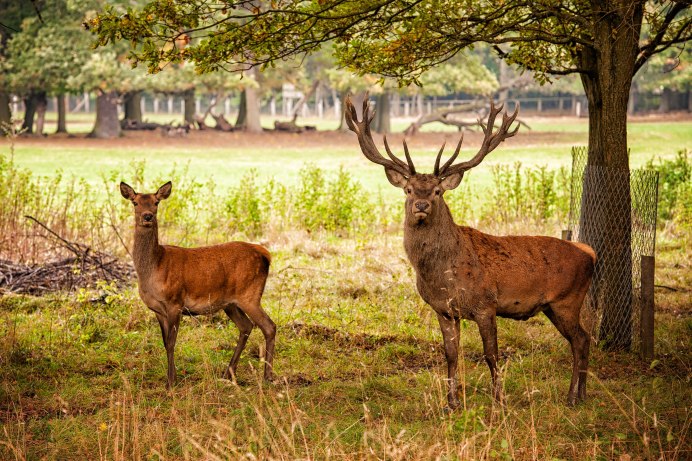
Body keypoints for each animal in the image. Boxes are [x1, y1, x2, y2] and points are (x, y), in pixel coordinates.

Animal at [120, 181, 274, 388]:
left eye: (156, 202)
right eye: (135, 202)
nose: (147, 216)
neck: (154, 269)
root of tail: (266, 255)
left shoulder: (175, 302)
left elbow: (171, 342)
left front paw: (171, 382)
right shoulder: (157, 309)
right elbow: (165, 342)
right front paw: (173, 378)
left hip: (250, 295)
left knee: (269, 326)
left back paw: (268, 376)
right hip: (231, 303)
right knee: (246, 326)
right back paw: (228, 373)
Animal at [346, 96, 596, 406]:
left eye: (437, 191)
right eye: (408, 190)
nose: (421, 205)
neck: (443, 277)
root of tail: (590, 253)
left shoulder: (485, 304)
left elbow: (492, 355)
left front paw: (499, 400)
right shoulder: (443, 310)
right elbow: (451, 355)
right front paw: (451, 403)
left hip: (567, 300)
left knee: (582, 339)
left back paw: (573, 395)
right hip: (554, 306)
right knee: (581, 339)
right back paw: (580, 393)